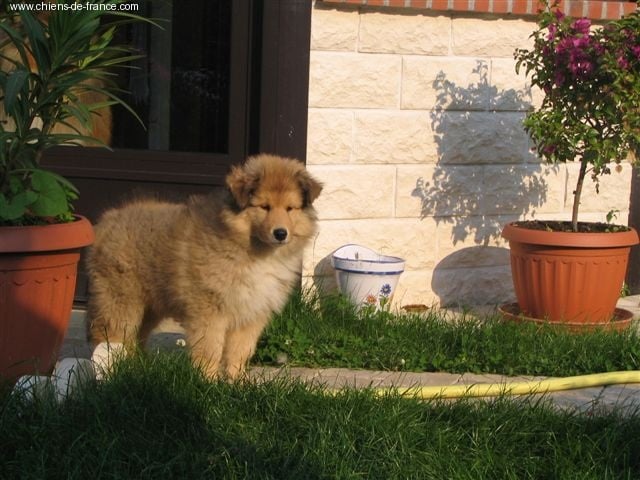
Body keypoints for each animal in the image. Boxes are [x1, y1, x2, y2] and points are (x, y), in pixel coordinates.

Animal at [87, 154, 322, 378]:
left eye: (290, 208)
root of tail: (106, 221)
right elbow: (210, 350)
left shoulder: (251, 313)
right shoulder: (209, 311)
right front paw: (208, 382)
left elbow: (239, 352)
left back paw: (137, 368)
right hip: (121, 300)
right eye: (264, 207)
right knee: (109, 335)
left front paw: (237, 383)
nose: (281, 233)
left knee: (135, 339)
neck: (254, 251)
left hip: (150, 306)